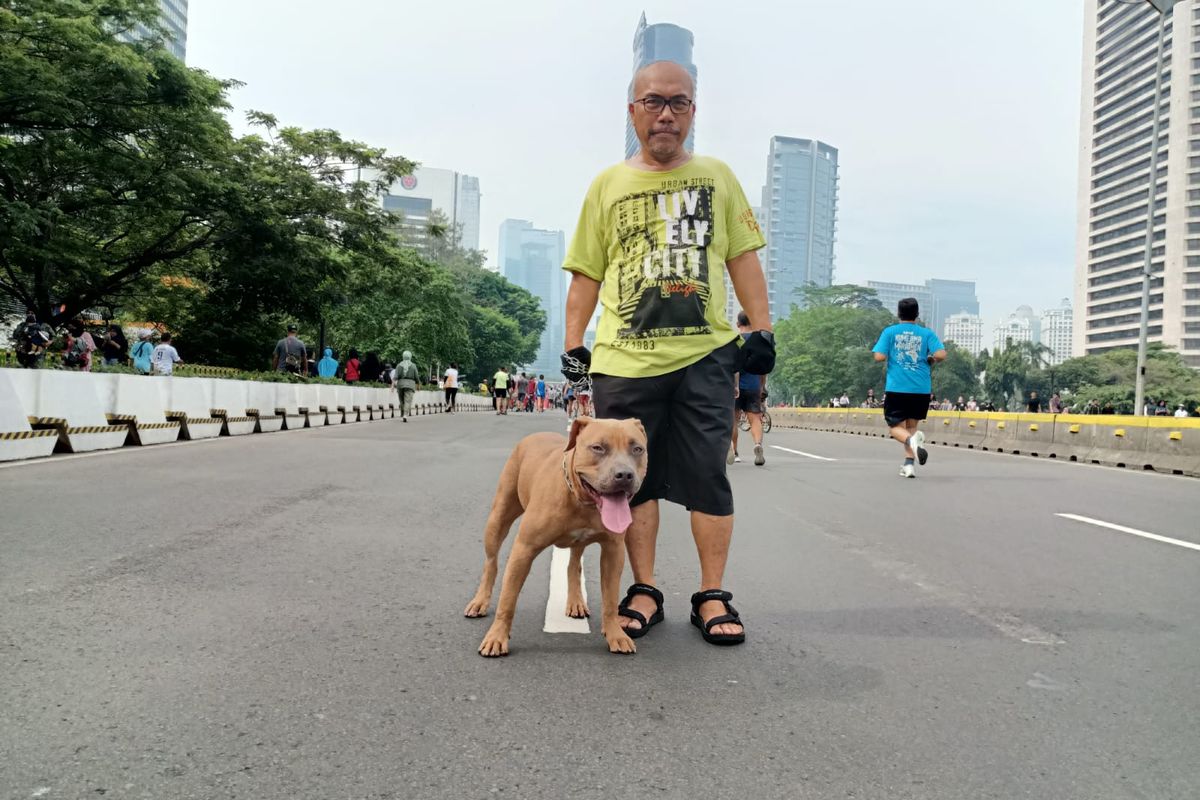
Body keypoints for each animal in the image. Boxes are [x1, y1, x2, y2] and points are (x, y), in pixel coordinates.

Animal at [463, 419, 648, 657]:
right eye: (598, 448)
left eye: (637, 449)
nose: (624, 475)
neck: (582, 502)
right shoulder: (524, 549)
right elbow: (508, 599)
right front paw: (496, 637)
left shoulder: (613, 551)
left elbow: (610, 599)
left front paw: (616, 634)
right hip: (497, 519)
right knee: (491, 563)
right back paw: (480, 601)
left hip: (578, 543)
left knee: (573, 565)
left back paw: (576, 601)